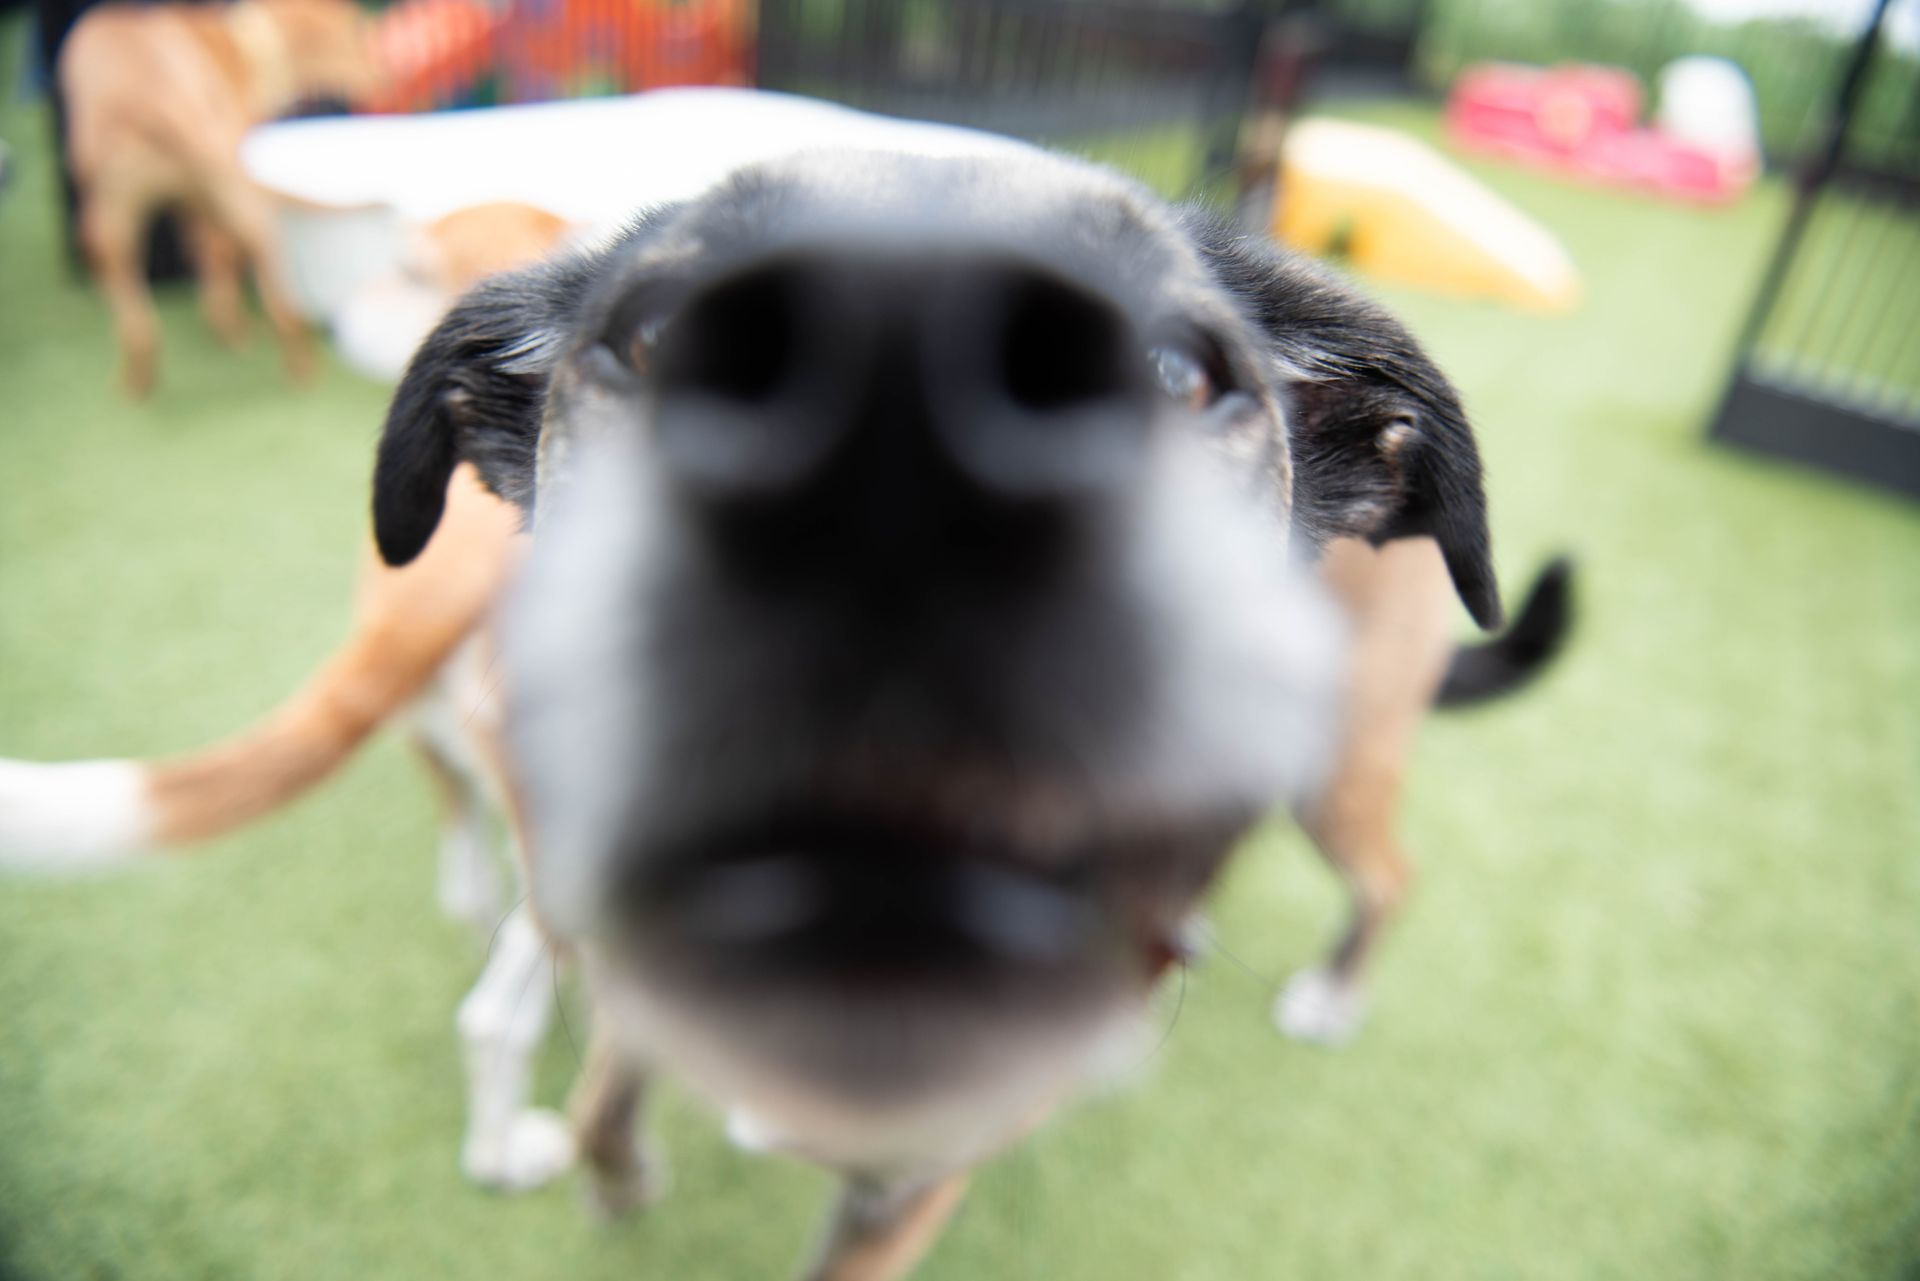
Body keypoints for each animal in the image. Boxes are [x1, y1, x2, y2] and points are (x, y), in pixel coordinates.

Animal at [4, 146, 1523, 1279]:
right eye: (659, 336)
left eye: (1174, 371)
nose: (893, 485)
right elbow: (609, 1111)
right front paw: (616, 1173)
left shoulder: (904, 1192)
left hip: (1334, 767)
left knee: (1384, 875)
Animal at [58, 0, 380, 397]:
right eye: (357, 35)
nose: (383, 70)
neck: (246, 46)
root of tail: (147, 98)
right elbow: (219, 259)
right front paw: (230, 327)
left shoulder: (193, 200)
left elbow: (210, 261)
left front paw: (222, 326)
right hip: (244, 209)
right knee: (280, 303)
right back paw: (297, 363)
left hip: (108, 225)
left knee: (137, 324)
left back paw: (135, 384)